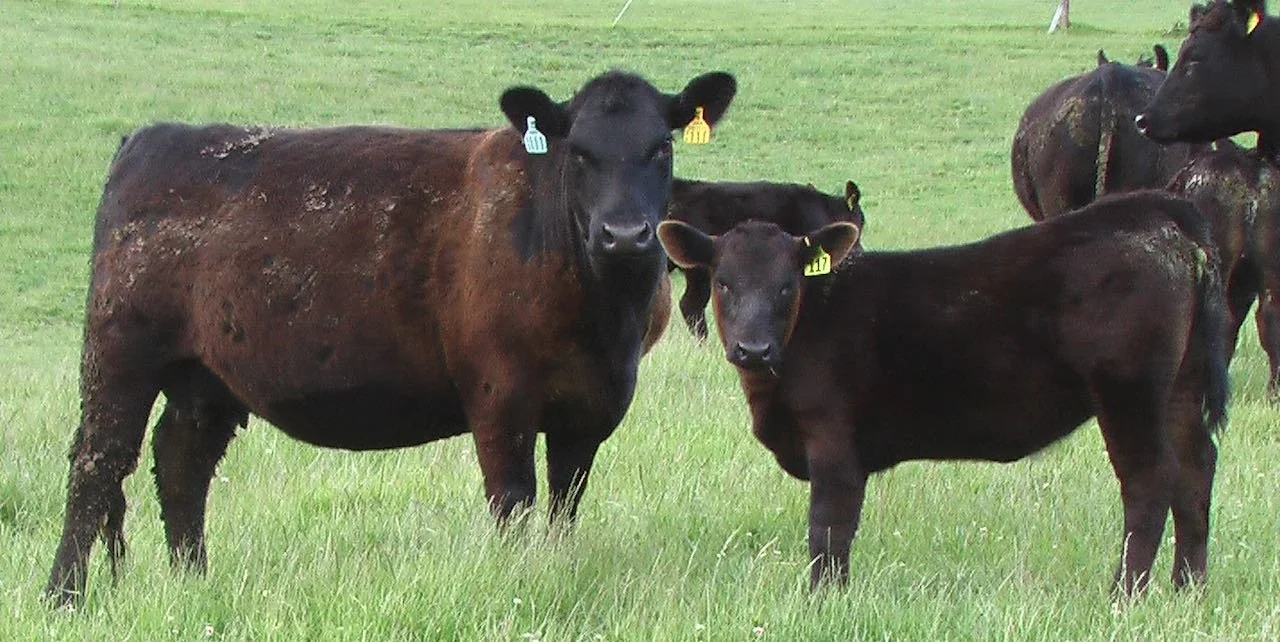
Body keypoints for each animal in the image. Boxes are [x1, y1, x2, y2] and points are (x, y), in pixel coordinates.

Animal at [44, 69, 738, 606]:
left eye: (661, 147)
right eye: (580, 151)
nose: (624, 234)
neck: (599, 318)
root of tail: (152, 136)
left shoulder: (588, 409)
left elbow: (565, 505)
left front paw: (557, 571)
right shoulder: (500, 401)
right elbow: (513, 501)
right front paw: (519, 585)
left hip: (206, 378)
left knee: (181, 464)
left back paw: (193, 583)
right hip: (120, 353)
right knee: (98, 464)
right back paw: (64, 597)